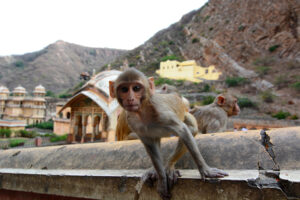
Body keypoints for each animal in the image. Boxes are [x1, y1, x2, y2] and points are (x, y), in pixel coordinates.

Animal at [109, 68, 229, 199]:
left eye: (136, 88)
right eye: (124, 89)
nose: (130, 98)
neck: (142, 112)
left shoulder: (163, 113)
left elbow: (184, 131)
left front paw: (206, 170)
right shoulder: (133, 122)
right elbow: (150, 145)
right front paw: (162, 179)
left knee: (191, 129)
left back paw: (169, 166)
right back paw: (156, 170)